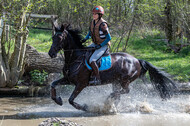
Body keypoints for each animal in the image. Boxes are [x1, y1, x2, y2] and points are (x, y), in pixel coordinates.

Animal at [48, 23, 177, 111]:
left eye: (60, 38)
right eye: (53, 38)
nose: (51, 54)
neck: (75, 58)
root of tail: (137, 60)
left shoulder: (81, 84)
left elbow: (71, 100)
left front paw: (84, 107)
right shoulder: (68, 79)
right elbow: (53, 84)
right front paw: (58, 100)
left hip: (125, 80)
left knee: (125, 91)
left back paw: (108, 99)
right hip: (116, 81)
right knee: (119, 95)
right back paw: (110, 106)